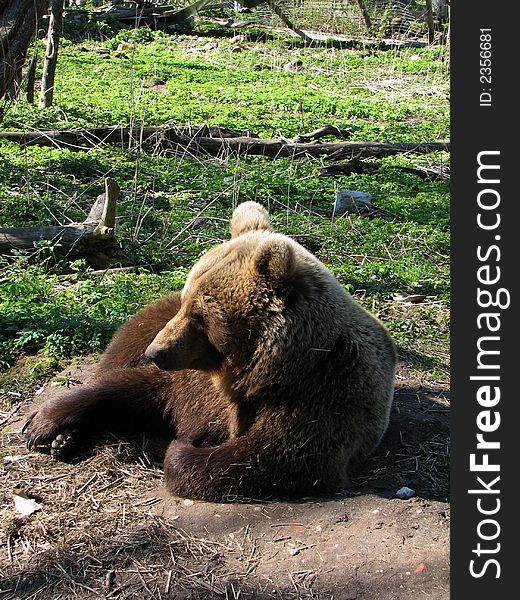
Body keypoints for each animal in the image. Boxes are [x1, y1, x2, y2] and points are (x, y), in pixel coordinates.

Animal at [24, 202, 396, 502]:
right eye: (186, 301)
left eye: (200, 316)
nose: (156, 351)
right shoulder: (189, 379)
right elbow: (132, 388)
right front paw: (42, 423)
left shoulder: (323, 393)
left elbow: (276, 456)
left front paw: (183, 447)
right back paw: (65, 439)